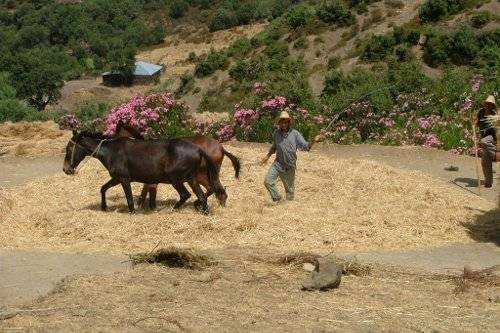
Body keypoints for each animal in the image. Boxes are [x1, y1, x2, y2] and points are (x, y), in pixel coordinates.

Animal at [62, 130, 227, 213]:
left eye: (69, 148)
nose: (66, 169)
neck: (110, 151)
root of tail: (198, 149)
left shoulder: (124, 179)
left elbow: (129, 199)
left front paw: (133, 211)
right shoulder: (116, 178)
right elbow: (103, 188)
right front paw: (104, 207)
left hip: (176, 179)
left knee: (185, 195)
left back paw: (172, 210)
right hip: (191, 178)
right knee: (202, 196)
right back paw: (203, 211)